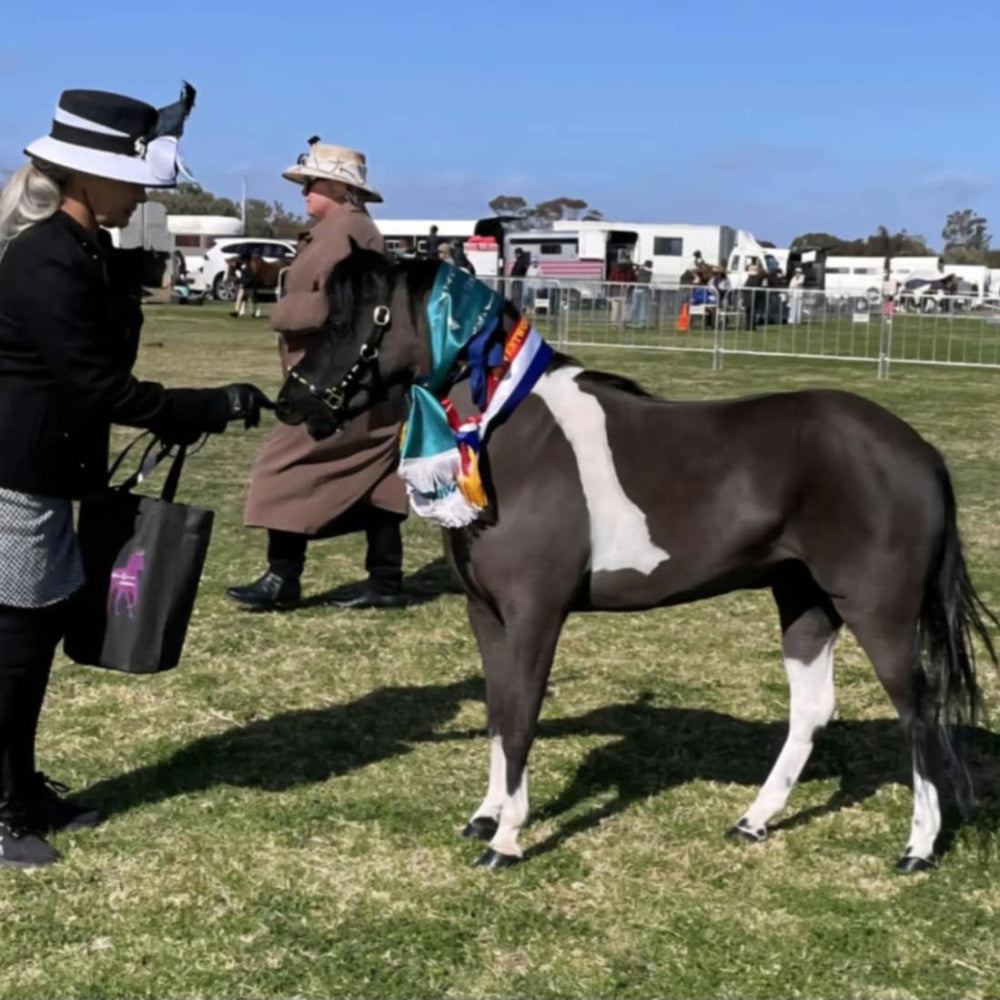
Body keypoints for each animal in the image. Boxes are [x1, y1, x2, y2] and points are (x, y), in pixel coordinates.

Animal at [274, 245, 998, 873]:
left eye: (358, 317)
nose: (292, 403)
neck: (511, 434)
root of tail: (918, 451)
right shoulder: (487, 613)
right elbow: (498, 710)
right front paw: (485, 816)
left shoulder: (536, 614)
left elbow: (523, 713)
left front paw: (507, 839)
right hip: (805, 600)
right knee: (813, 709)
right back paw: (753, 820)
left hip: (880, 611)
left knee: (919, 710)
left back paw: (918, 848)